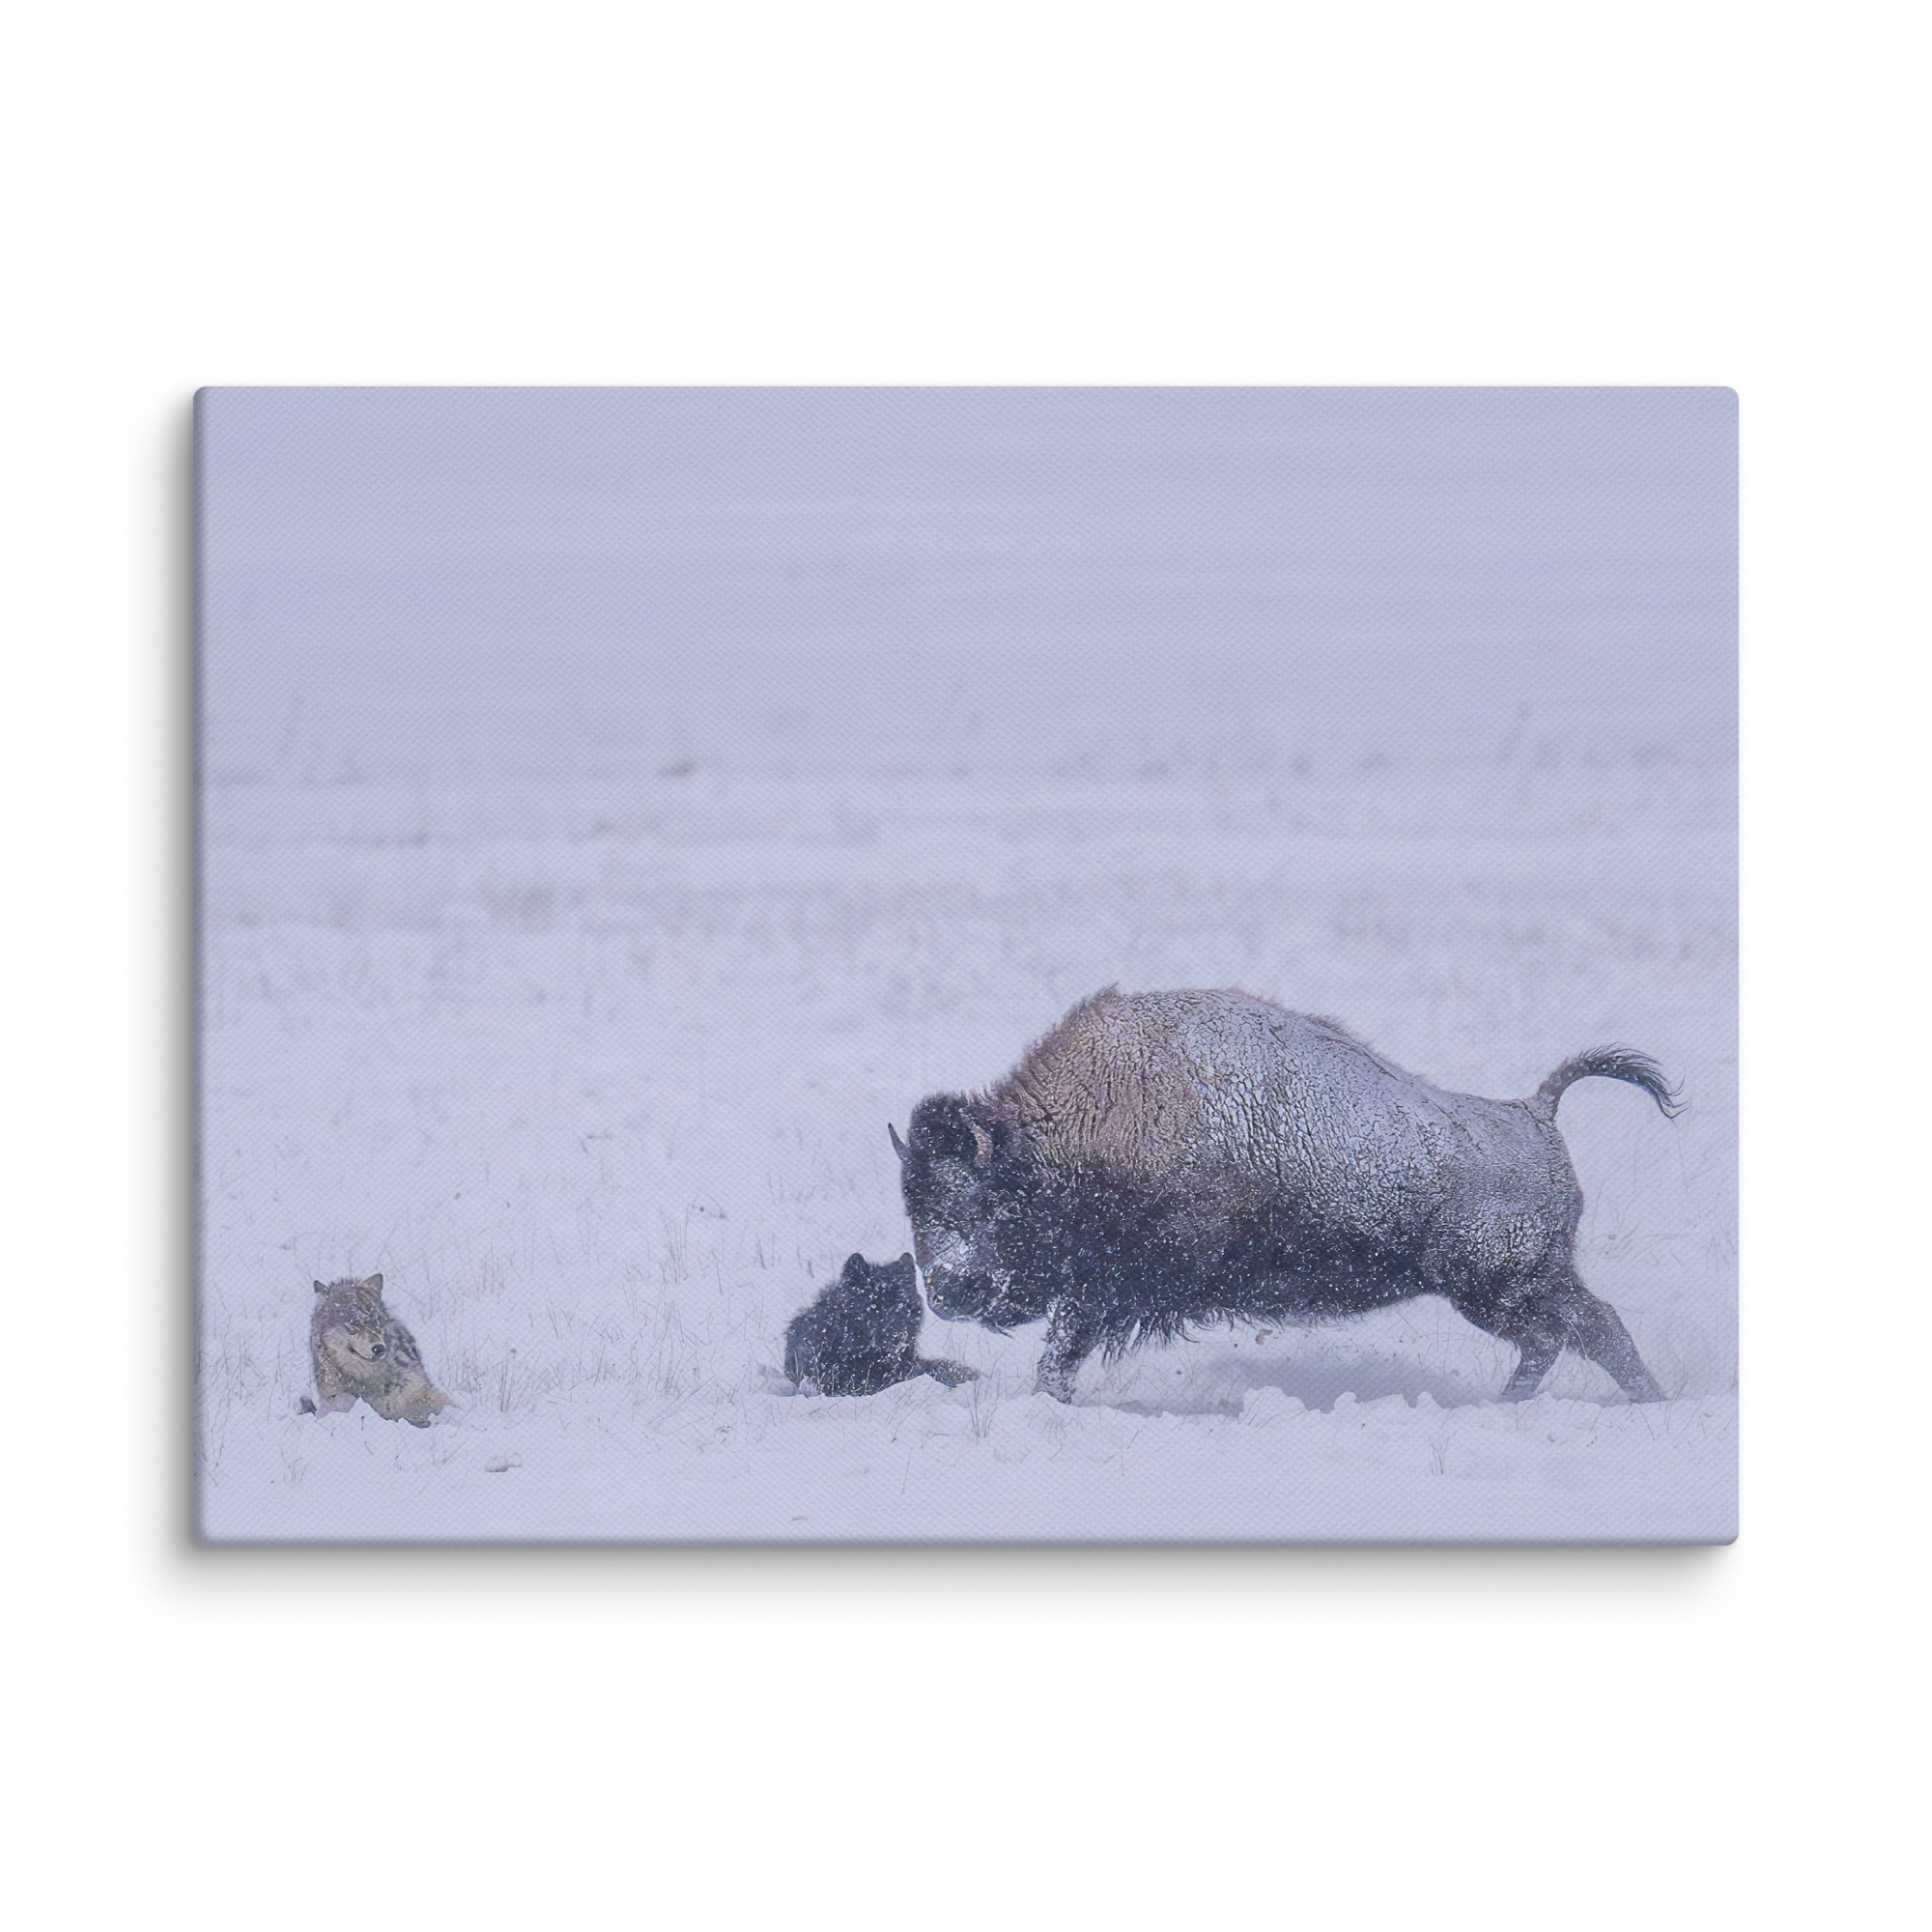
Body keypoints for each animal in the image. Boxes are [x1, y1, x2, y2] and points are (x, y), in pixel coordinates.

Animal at [890, 987, 1680, 1405]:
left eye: (982, 1202)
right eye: (915, 1206)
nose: (946, 1291)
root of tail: (1533, 1112)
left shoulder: (1105, 1292)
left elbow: (1059, 1352)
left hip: (1498, 1286)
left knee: (1582, 1330)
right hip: (1512, 1286)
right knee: (1569, 1335)